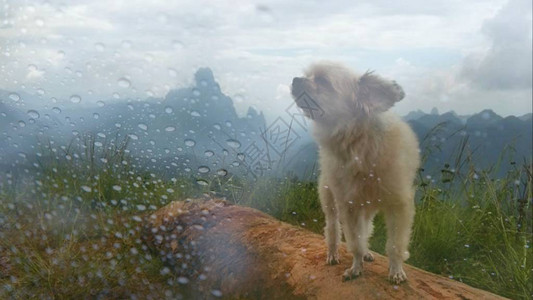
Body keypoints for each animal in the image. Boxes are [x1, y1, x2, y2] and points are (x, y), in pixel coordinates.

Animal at [290, 61, 420, 284]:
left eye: (323, 81)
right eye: (307, 75)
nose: (295, 79)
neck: (359, 143)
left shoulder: (398, 204)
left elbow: (395, 244)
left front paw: (396, 270)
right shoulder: (349, 205)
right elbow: (354, 242)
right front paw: (356, 267)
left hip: (367, 206)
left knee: (366, 228)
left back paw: (367, 253)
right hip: (330, 198)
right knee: (333, 228)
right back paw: (333, 253)